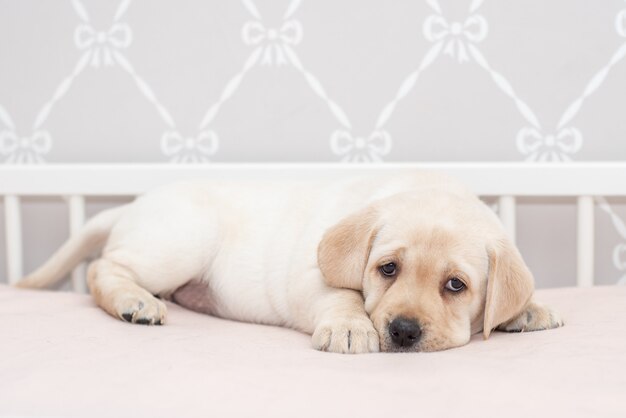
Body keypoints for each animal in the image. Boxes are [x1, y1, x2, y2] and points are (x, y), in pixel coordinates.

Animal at [15, 171, 560, 352]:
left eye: (456, 286)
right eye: (387, 269)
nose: (403, 331)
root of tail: (133, 205)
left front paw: (528, 309)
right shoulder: (311, 277)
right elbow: (341, 294)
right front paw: (351, 326)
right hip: (182, 242)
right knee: (102, 268)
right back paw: (136, 301)